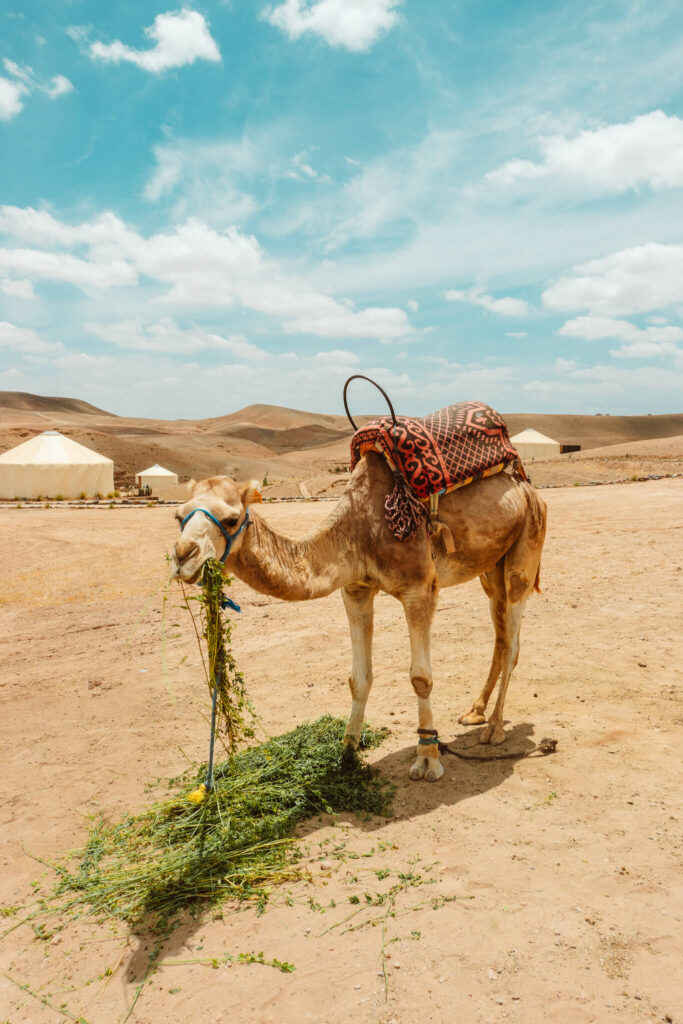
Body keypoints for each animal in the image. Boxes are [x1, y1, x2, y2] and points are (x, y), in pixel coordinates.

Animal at [174, 452, 548, 778]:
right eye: (179, 517)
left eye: (232, 519)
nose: (182, 554)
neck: (360, 529)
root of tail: (529, 489)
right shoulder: (355, 589)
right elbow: (359, 678)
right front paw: (346, 754)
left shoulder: (419, 589)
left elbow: (421, 678)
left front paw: (428, 759)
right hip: (490, 567)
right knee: (500, 636)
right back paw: (475, 712)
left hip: (526, 549)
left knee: (513, 641)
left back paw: (495, 728)